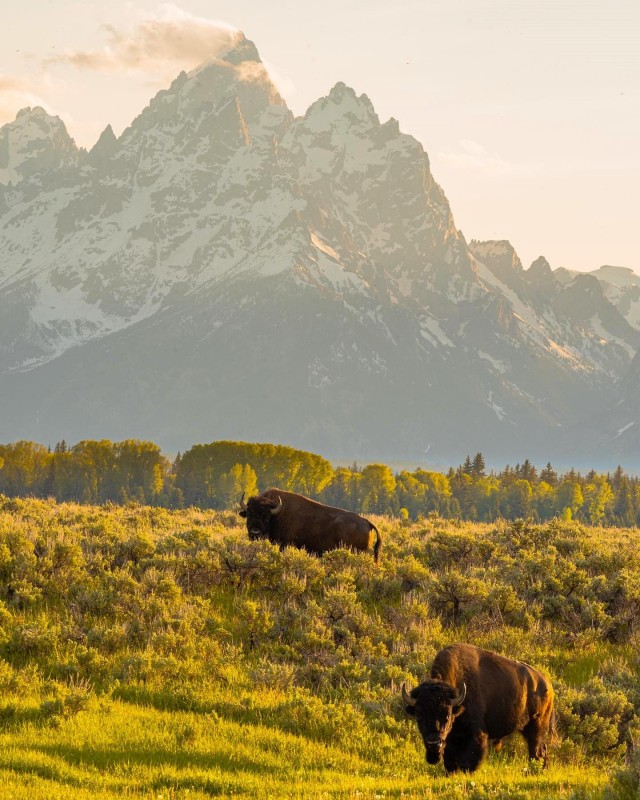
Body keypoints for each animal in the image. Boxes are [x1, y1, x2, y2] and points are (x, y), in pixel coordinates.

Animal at [239, 488, 380, 564]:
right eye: (249, 514)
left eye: (267, 517)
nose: (255, 532)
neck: (277, 514)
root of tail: (366, 522)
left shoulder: (284, 544)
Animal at [402, 640, 552, 772]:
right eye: (419, 715)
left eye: (448, 714)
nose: (433, 743)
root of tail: (547, 684)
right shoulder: (451, 738)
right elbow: (450, 761)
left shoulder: (475, 733)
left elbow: (469, 759)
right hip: (526, 728)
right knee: (541, 749)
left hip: (536, 726)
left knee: (536, 750)